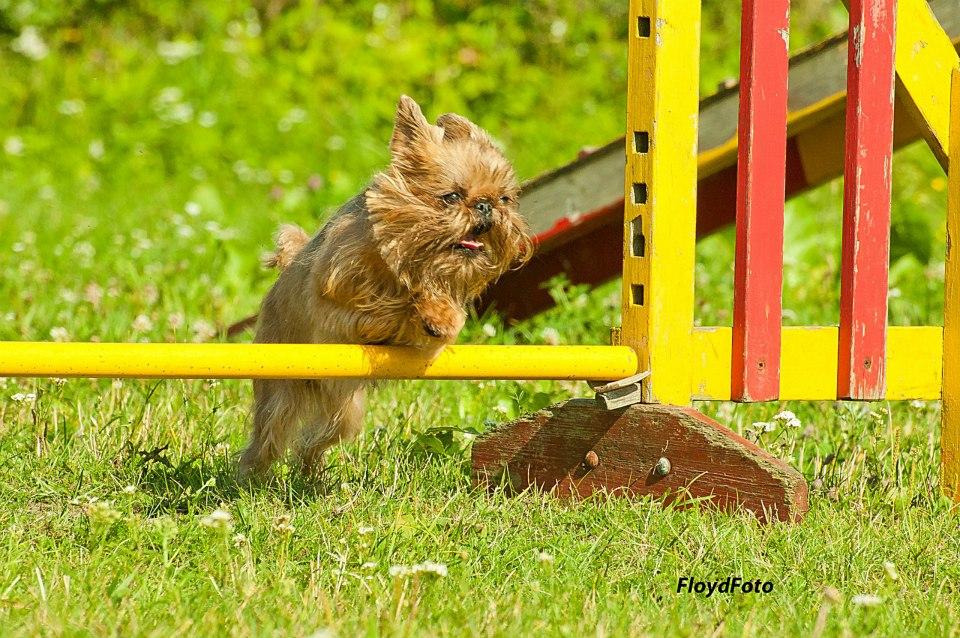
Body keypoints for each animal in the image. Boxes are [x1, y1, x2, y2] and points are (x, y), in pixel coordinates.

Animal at [236, 95, 528, 476]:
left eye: (504, 199)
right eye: (451, 196)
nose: (485, 205)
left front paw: (440, 315)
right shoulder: (339, 295)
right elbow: (388, 302)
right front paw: (416, 307)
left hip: (344, 409)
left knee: (315, 439)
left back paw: (309, 470)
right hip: (282, 390)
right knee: (269, 437)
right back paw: (252, 476)